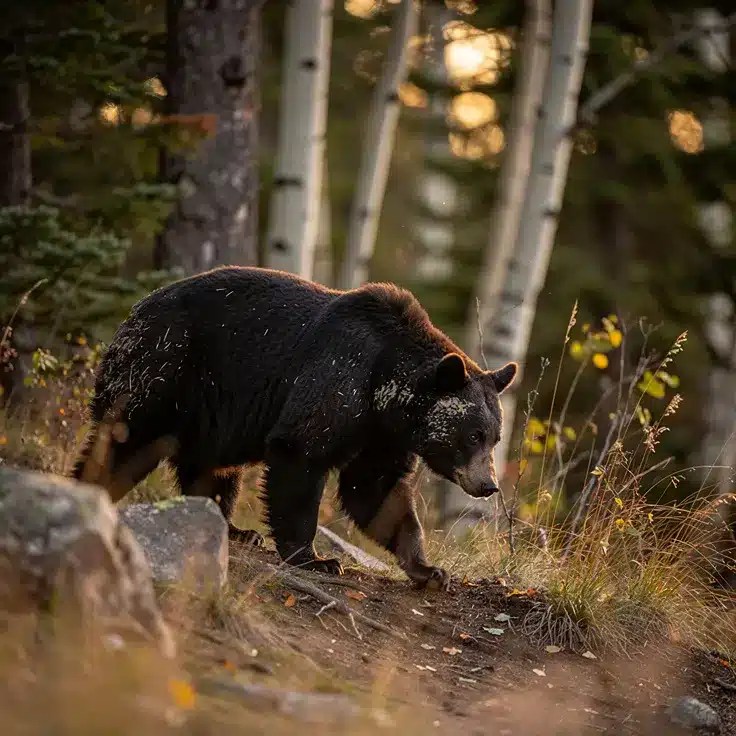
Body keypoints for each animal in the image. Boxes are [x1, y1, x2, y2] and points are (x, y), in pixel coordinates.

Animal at [72, 266, 516, 588]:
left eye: (494, 437)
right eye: (473, 435)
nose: (488, 485)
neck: (384, 390)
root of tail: (133, 313)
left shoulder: (383, 435)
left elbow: (378, 492)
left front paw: (429, 569)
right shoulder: (337, 379)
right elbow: (301, 456)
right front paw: (316, 558)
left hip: (211, 414)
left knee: (214, 470)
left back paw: (234, 528)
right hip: (165, 369)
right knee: (127, 442)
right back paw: (92, 489)